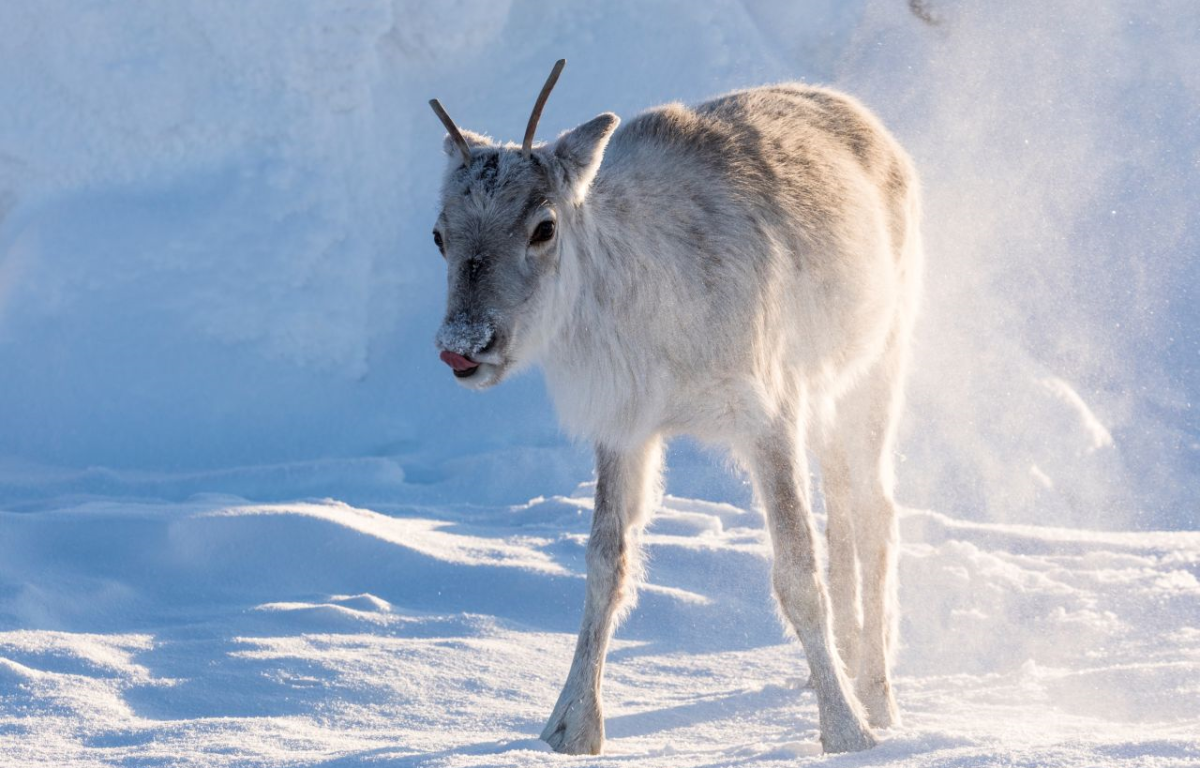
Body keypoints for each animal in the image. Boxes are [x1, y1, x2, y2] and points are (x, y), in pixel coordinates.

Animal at [427, 61, 921, 758]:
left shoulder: (768, 412)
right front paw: (571, 728)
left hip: (878, 364)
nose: (463, 345)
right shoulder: (624, 426)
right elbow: (605, 567)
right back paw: (834, 671)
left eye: (544, 227)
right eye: (438, 235)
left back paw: (875, 696)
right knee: (844, 503)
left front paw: (846, 731)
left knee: (877, 511)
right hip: (827, 393)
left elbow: (797, 573)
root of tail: (875, 128)